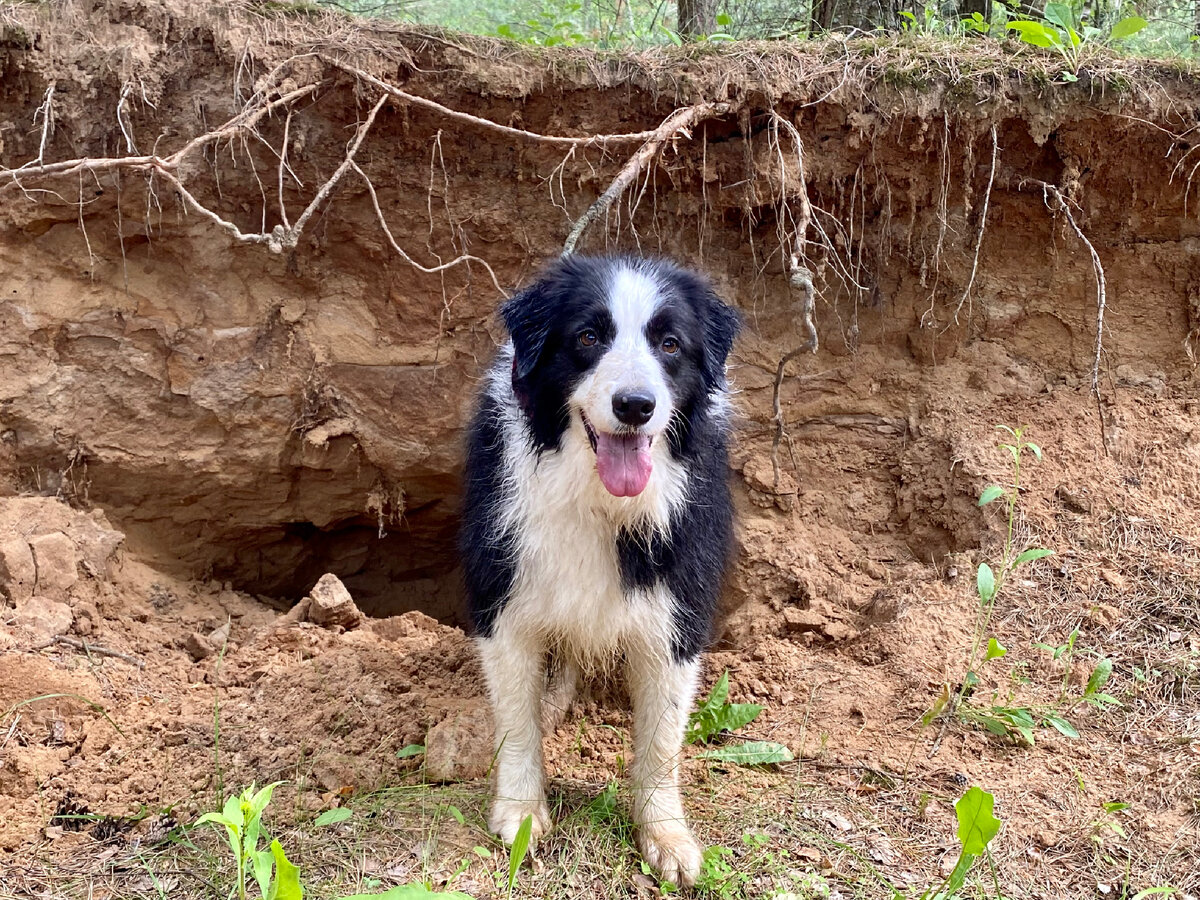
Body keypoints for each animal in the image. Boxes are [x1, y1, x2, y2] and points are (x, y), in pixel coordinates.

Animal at [458, 255, 739, 888]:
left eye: (669, 343)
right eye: (588, 337)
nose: (635, 405)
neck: (597, 497)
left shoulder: (678, 601)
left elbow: (662, 737)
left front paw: (665, 836)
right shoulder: (504, 589)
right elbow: (517, 721)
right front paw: (520, 814)